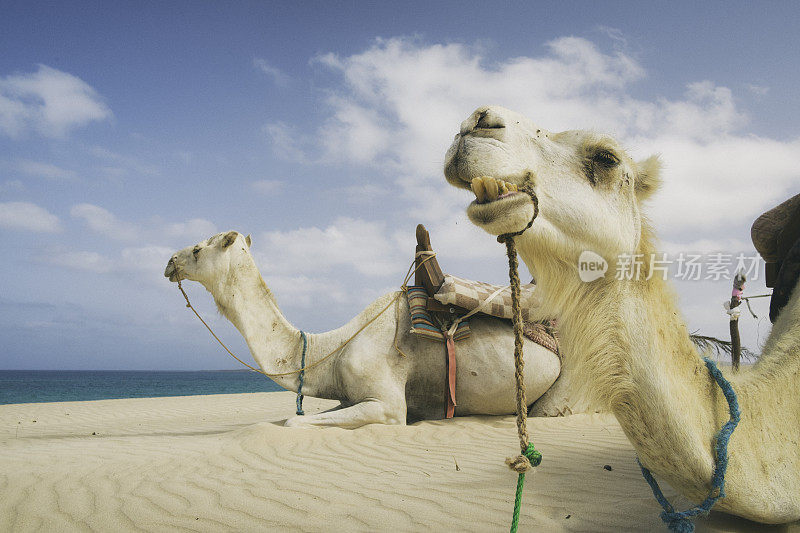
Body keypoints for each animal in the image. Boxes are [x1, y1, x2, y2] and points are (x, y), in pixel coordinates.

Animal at [166, 232, 560, 428]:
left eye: (197, 249)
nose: (169, 261)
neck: (334, 347)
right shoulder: (347, 398)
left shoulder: (387, 404)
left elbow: (293, 423)